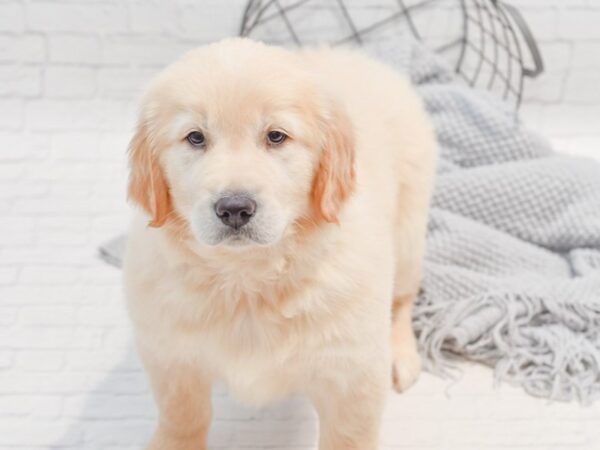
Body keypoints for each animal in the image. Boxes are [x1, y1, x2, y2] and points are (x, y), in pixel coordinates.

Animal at [125, 37, 436, 450]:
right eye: (195, 137)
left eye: (276, 136)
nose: (235, 208)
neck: (247, 281)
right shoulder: (169, 355)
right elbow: (182, 416)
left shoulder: (352, 376)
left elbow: (348, 436)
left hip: (408, 234)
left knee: (401, 299)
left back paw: (400, 354)